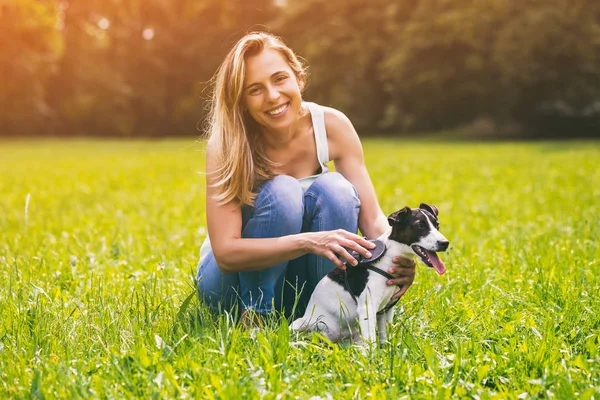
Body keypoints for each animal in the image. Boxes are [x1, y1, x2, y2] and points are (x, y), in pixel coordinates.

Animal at [290, 205, 450, 346]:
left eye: (437, 225)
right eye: (420, 225)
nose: (445, 243)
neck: (389, 256)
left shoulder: (387, 309)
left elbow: (385, 337)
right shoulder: (368, 308)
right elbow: (372, 342)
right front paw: (373, 360)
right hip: (300, 324)